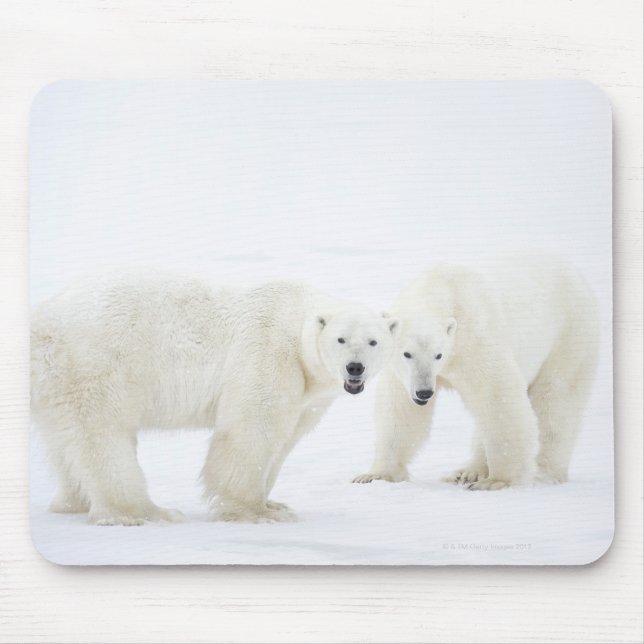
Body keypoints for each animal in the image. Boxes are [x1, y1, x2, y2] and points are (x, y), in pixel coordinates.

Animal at [31, 273, 397, 524]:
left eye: (373, 341)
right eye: (340, 339)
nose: (355, 368)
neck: (294, 321)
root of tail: (42, 319)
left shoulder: (307, 394)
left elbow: (285, 438)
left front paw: (274, 503)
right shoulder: (268, 352)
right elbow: (252, 429)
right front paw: (256, 512)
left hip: (59, 380)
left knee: (66, 442)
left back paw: (72, 502)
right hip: (96, 365)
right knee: (105, 437)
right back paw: (146, 512)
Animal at [353, 252, 600, 490]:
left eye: (438, 355)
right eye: (407, 354)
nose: (424, 392)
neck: (443, 287)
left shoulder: (475, 338)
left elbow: (497, 397)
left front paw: (499, 481)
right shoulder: (402, 374)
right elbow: (399, 410)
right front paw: (373, 475)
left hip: (568, 337)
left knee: (556, 401)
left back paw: (542, 474)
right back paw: (467, 471)